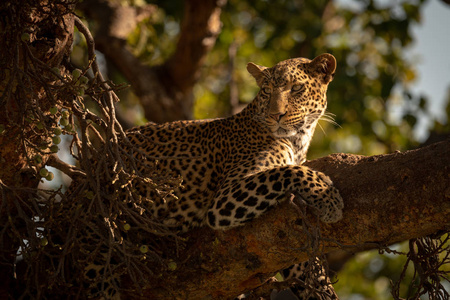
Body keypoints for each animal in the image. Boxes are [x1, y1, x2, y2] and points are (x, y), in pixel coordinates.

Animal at [84, 52, 344, 298]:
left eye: (296, 88)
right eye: (267, 91)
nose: (275, 115)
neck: (299, 141)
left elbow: (311, 274)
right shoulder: (224, 201)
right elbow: (285, 171)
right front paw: (327, 197)